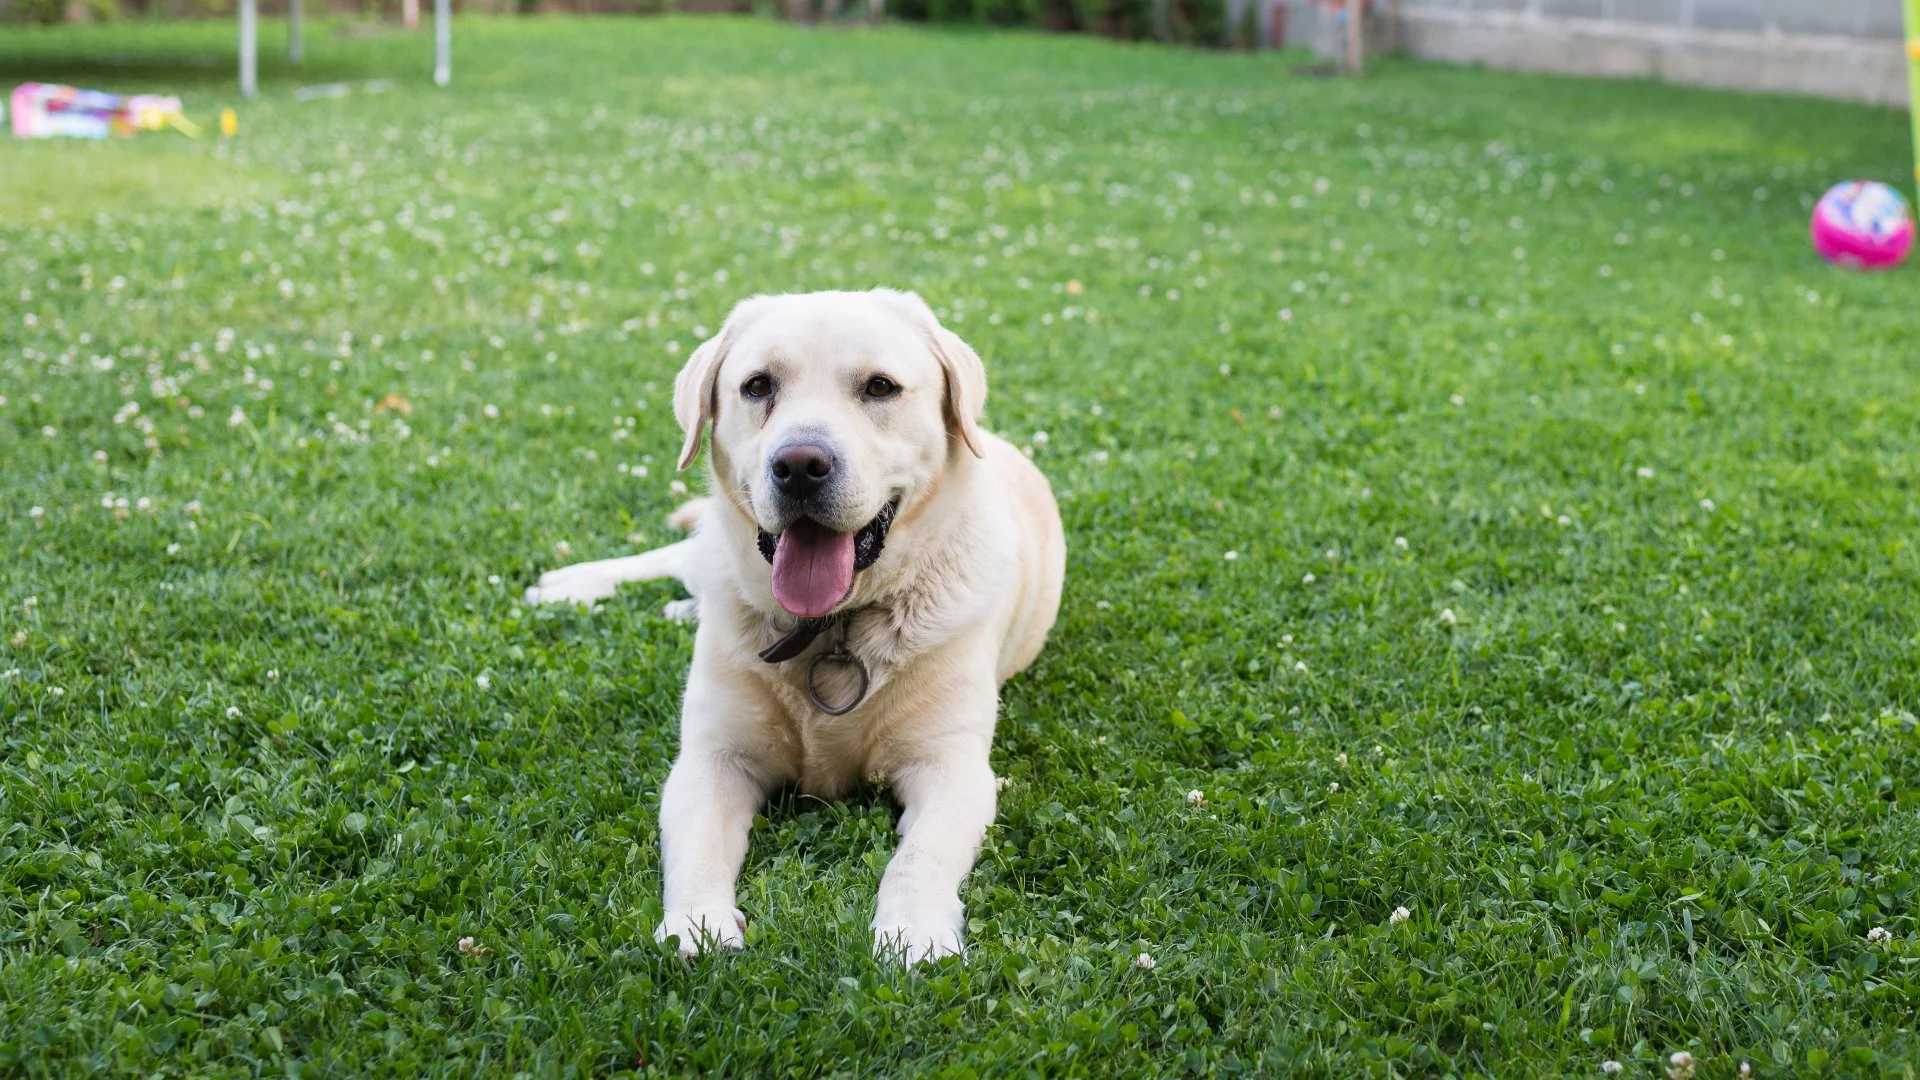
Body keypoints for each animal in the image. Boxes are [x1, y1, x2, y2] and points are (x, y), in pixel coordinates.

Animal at [526, 286, 1067, 957]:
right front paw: (696, 924)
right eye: (757, 386)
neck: (830, 627)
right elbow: (699, 847)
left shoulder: (952, 767)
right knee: (676, 557)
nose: (801, 465)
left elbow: (920, 856)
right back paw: (572, 585)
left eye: (880, 387)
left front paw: (912, 930)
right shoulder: (712, 757)